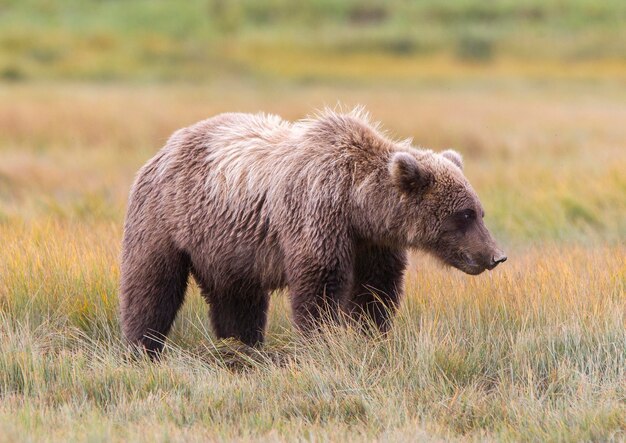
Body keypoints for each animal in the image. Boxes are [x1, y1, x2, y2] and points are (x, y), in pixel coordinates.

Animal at [119, 109, 504, 356]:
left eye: (479, 211)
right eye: (464, 214)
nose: (496, 256)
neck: (358, 206)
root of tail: (165, 147)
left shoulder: (372, 243)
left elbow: (374, 290)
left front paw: (370, 335)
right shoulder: (317, 214)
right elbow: (320, 285)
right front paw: (325, 341)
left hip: (225, 244)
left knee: (237, 297)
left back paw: (242, 345)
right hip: (165, 219)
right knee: (151, 283)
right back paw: (142, 345)